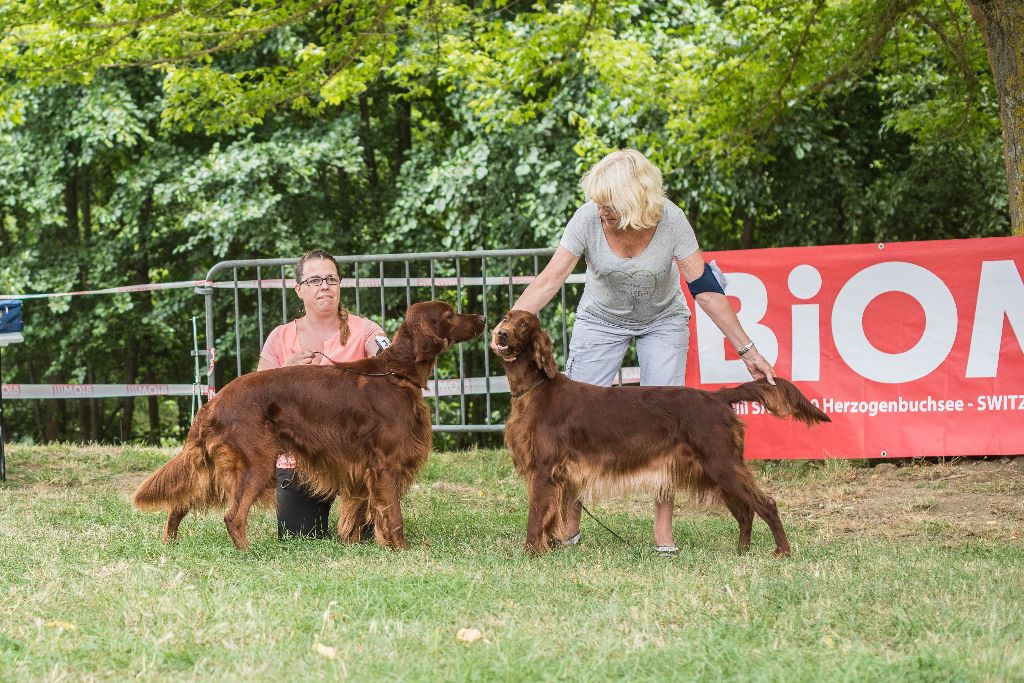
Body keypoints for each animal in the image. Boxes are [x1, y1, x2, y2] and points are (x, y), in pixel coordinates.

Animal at [133, 299, 483, 548]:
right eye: (450, 314)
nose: (481, 319)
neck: (396, 373)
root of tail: (214, 402)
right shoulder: (386, 463)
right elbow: (393, 514)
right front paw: (401, 549)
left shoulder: (364, 468)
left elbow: (365, 510)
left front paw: (360, 542)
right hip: (257, 463)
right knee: (232, 516)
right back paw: (248, 552)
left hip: (212, 467)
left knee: (180, 502)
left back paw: (170, 543)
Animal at [489, 309, 831, 557]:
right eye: (506, 317)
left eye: (523, 324)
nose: (500, 334)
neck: (536, 388)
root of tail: (717, 397)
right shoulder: (553, 475)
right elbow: (549, 515)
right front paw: (548, 547)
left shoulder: (545, 469)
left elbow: (536, 514)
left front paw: (531, 551)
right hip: (716, 469)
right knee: (746, 511)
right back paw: (741, 551)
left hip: (721, 464)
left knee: (766, 504)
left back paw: (782, 552)